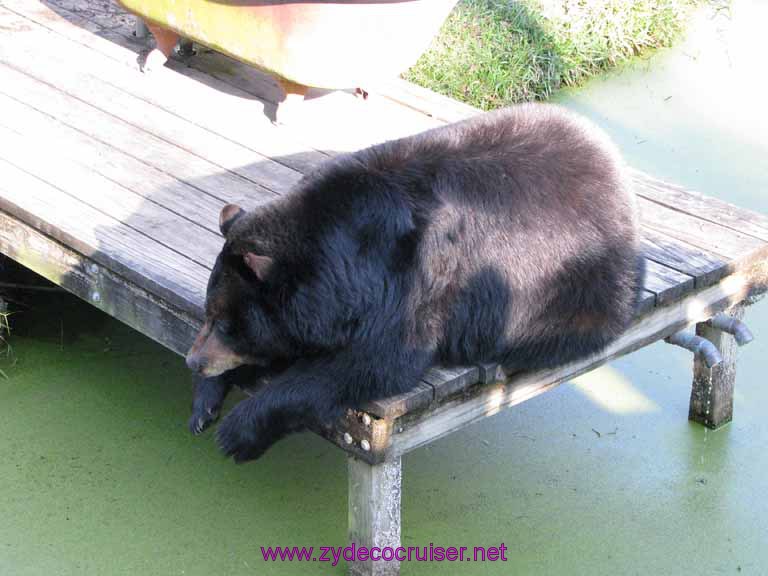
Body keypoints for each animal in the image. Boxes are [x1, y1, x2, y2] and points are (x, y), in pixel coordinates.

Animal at [185, 103, 645, 462]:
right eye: (210, 314)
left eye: (228, 324)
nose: (193, 361)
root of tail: (618, 170)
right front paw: (205, 402)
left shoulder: (415, 284)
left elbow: (371, 364)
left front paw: (238, 431)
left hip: (580, 282)